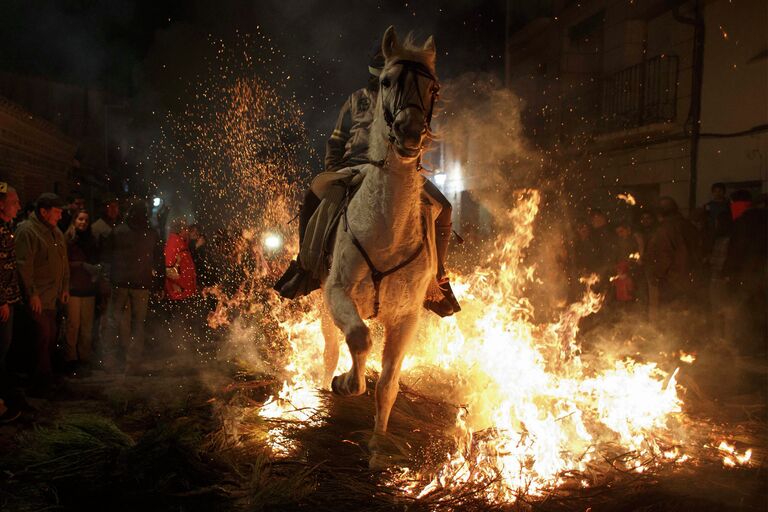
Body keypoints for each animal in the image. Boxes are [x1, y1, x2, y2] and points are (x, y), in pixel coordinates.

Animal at [320, 27, 438, 468]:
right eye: (387, 81)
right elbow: (358, 339)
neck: (387, 231)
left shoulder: (406, 317)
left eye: (433, 88)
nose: (410, 133)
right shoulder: (337, 292)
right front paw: (346, 383)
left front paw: (376, 443)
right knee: (330, 348)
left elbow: (389, 384)